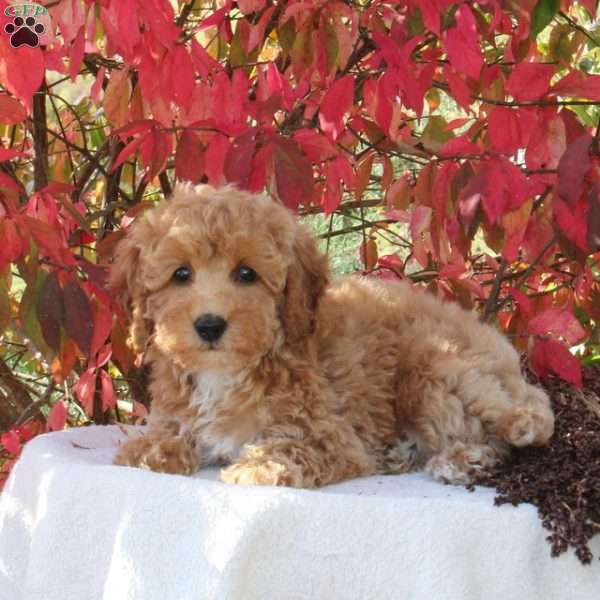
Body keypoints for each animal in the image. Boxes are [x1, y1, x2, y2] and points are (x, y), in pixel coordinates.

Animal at [111, 184, 552, 488]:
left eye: (246, 274)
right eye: (181, 274)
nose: (209, 325)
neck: (225, 373)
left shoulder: (331, 436)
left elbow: (291, 447)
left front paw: (261, 465)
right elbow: (171, 433)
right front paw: (148, 450)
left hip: (435, 369)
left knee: (517, 428)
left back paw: (462, 459)